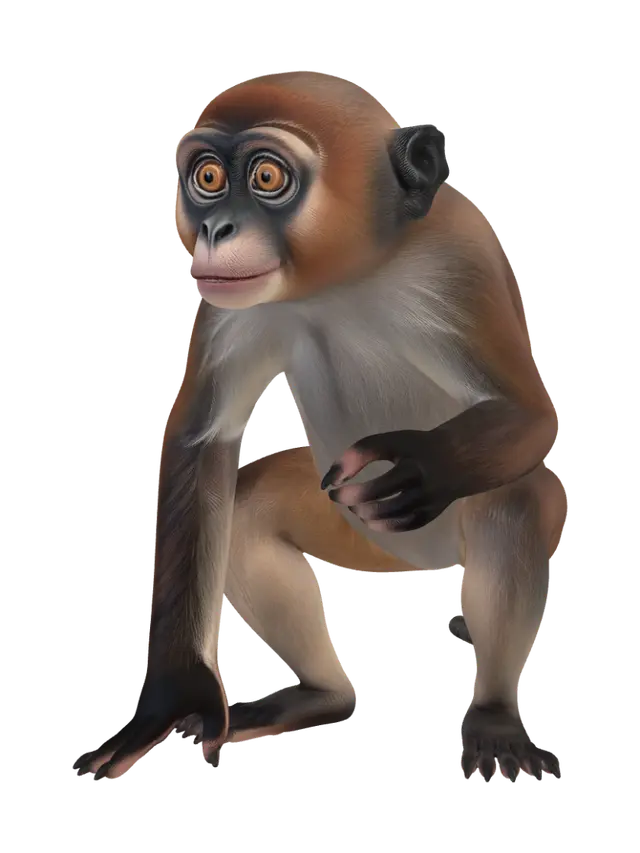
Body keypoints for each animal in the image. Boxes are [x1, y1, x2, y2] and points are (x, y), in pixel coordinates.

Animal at [73, 71, 567, 782]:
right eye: (209, 177)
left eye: (268, 176)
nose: (216, 228)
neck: (351, 275)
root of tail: (424, 566)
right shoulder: (229, 297)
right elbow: (202, 445)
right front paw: (176, 696)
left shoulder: (462, 254)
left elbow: (531, 416)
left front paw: (427, 466)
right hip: (358, 531)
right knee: (247, 510)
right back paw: (322, 695)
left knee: (515, 498)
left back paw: (496, 713)